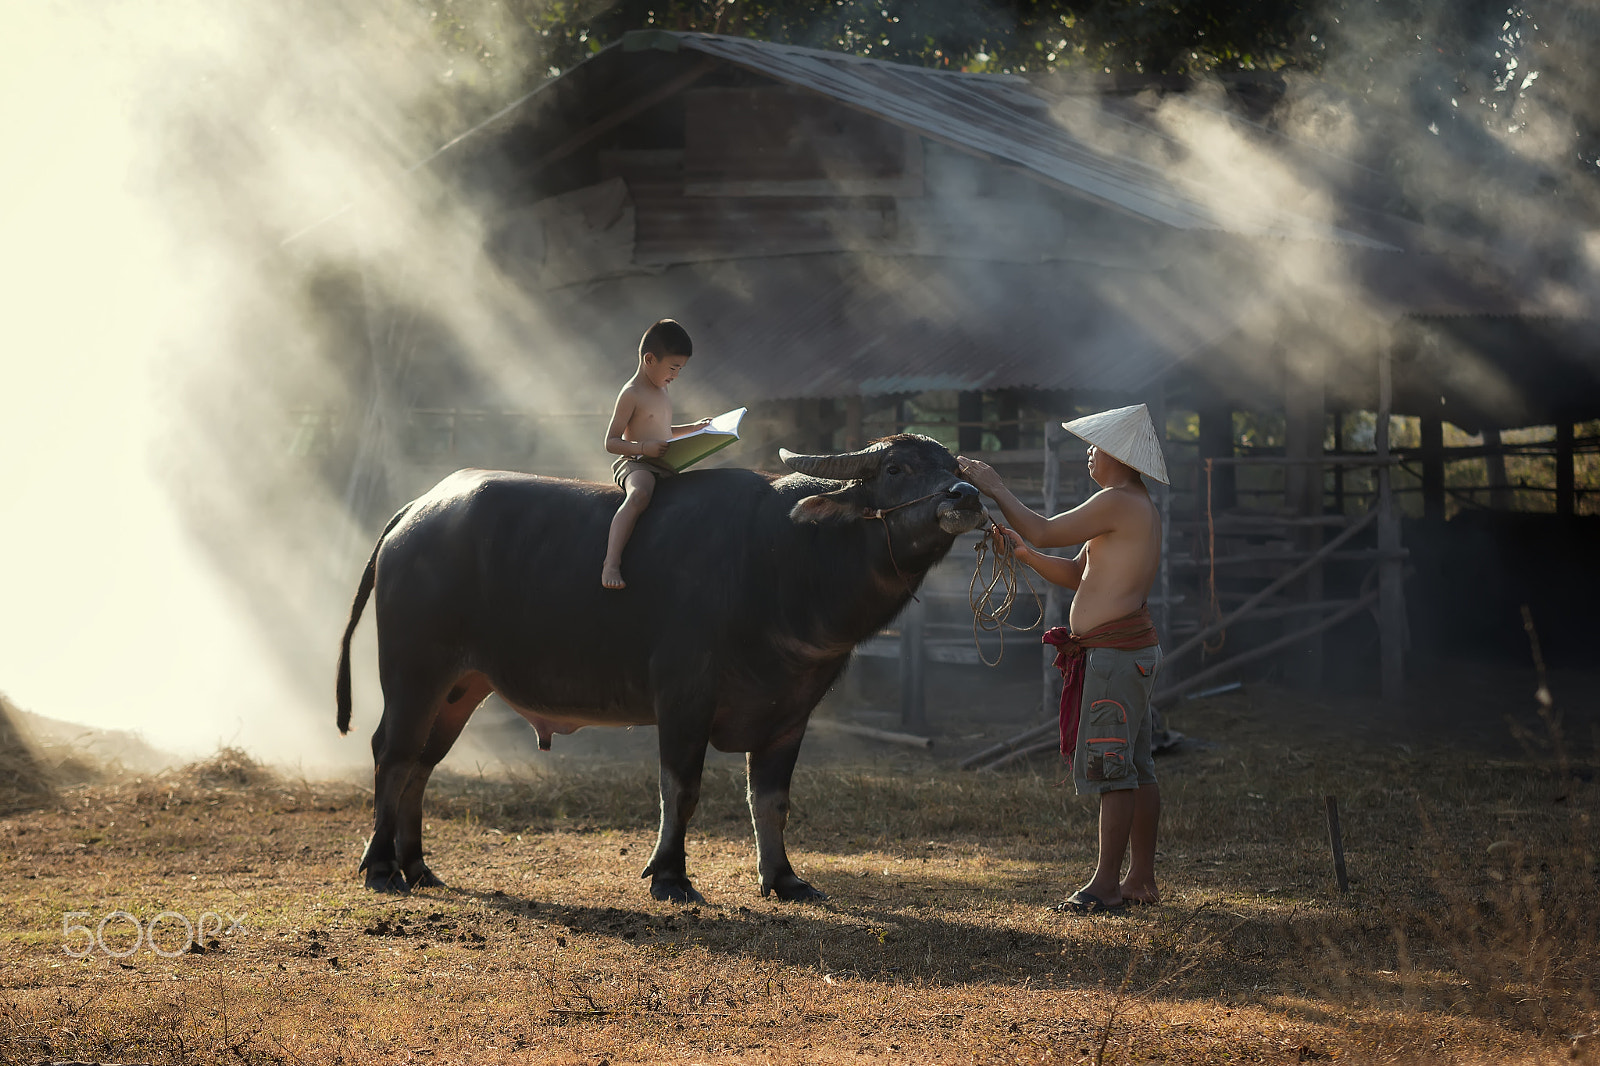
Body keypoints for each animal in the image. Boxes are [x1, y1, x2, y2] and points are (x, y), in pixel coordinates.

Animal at [336, 432, 979, 896]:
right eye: (895, 469)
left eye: (956, 467)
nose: (964, 497)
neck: (781, 557)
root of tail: (415, 513)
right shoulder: (683, 696)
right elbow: (681, 789)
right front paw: (670, 875)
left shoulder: (790, 714)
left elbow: (770, 801)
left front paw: (783, 878)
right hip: (413, 672)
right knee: (392, 754)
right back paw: (381, 867)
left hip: (461, 686)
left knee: (422, 764)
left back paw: (418, 866)